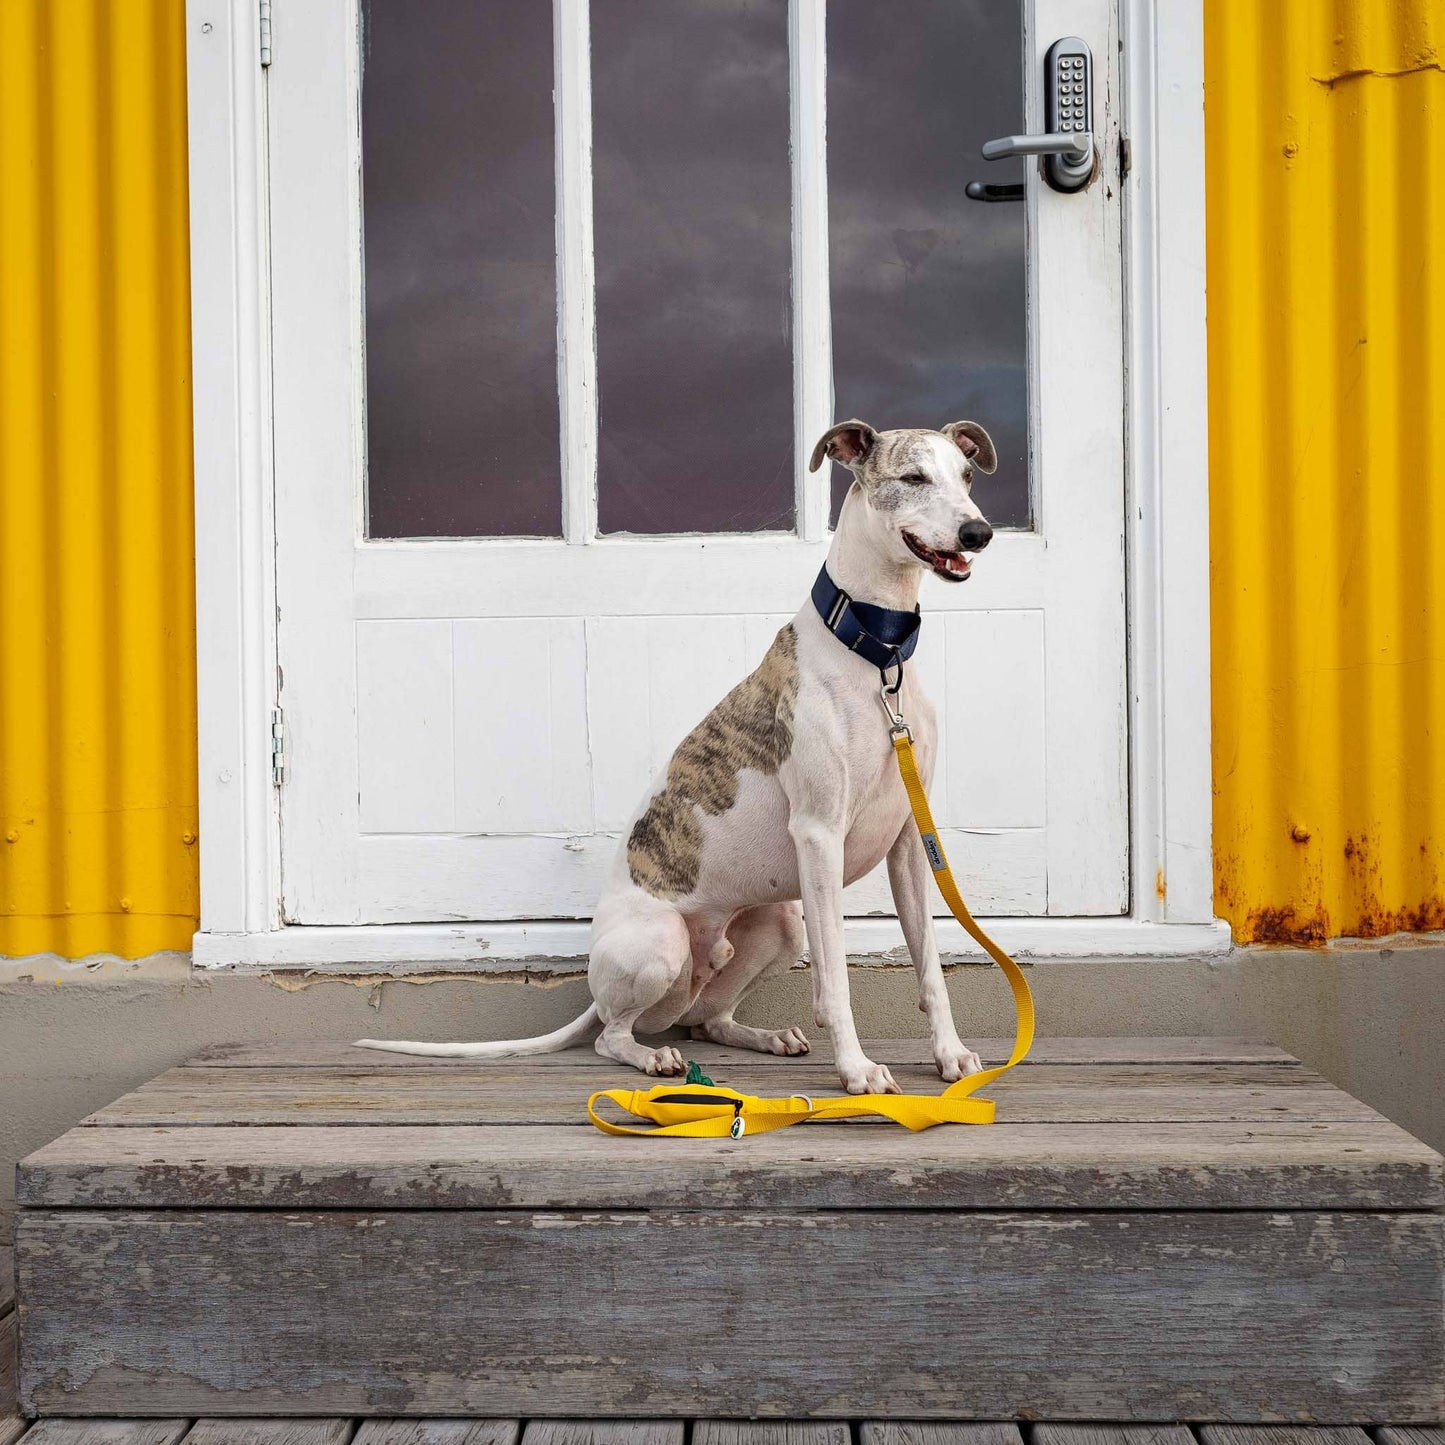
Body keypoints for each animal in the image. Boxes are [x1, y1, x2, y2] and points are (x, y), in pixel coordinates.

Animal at [359, 419, 994, 1092]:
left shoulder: (909, 841)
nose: (979, 533)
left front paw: (951, 1056)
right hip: (663, 943)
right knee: (612, 1037)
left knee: (706, 1019)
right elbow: (836, 982)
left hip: (781, 924)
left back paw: (765, 1037)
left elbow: (930, 967)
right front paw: (856, 1069)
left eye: (967, 477)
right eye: (913, 478)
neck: (877, 654)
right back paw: (652, 1057)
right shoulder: (819, 834)